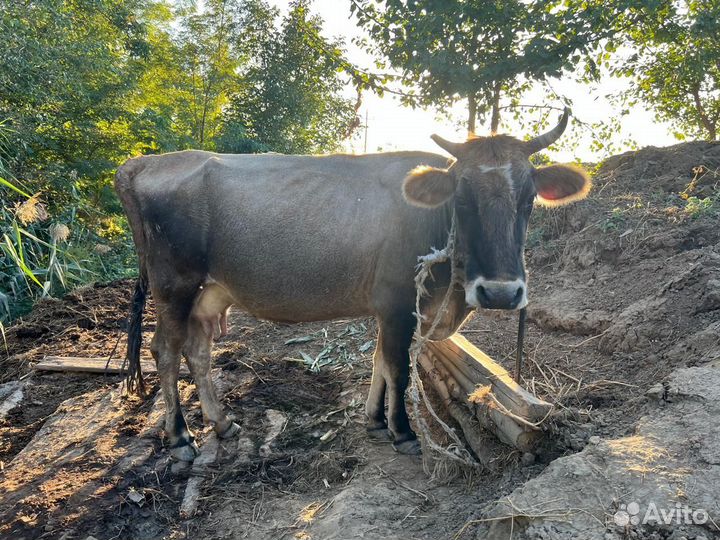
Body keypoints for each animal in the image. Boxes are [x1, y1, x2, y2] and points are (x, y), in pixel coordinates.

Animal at [115, 108, 590, 460]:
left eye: (529, 198)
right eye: (462, 199)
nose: (501, 292)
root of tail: (143, 162)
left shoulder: (389, 307)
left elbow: (379, 359)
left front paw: (375, 421)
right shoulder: (398, 302)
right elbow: (398, 367)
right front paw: (403, 432)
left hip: (209, 292)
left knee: (197, 351)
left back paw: (222, 421)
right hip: (173, 285)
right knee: (165, 351)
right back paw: (180, 438)